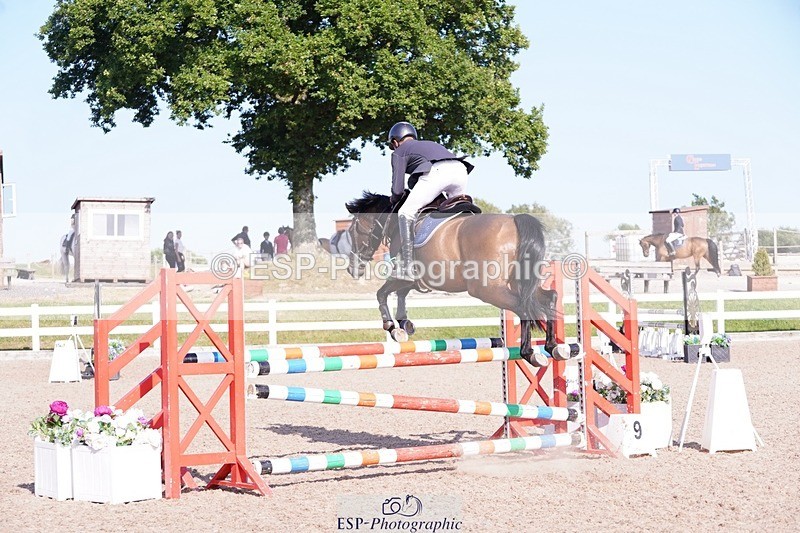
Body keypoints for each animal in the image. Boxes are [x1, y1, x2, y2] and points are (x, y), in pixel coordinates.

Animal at [344, 191, 561, 367]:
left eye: (352, 231)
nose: (352, 269)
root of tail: (515, 222)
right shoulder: (413, 279)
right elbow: (400, 294)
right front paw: (405, 323)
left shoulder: (404, 275)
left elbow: (381, 293)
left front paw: (393, 328)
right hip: (520, 284)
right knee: (549, 298)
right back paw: (554, 347)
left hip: (487, 289)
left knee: (523, 307)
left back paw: (530, 353)